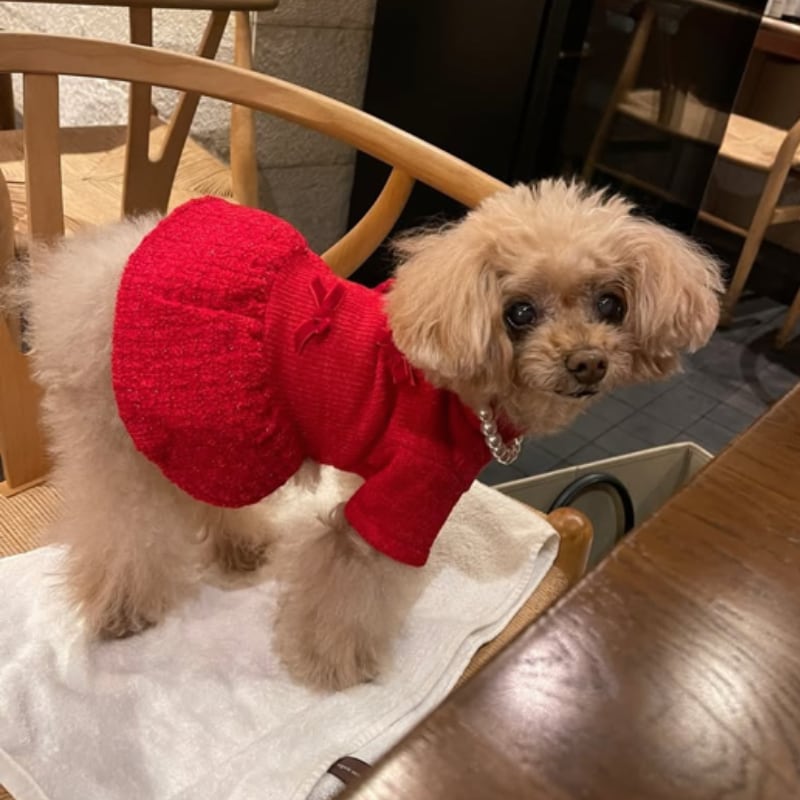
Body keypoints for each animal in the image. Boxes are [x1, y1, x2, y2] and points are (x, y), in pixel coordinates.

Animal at [22, 179, 722, 690]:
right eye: (519, 313)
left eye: (611, 303)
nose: (587, 363)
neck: (460, 388)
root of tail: (86, 282)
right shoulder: (404, 497)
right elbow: (353, 588)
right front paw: (331, 666)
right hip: (129, 439)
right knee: (121, 525)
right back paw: (123, 609)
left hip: (211, 437)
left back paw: (239, 546)